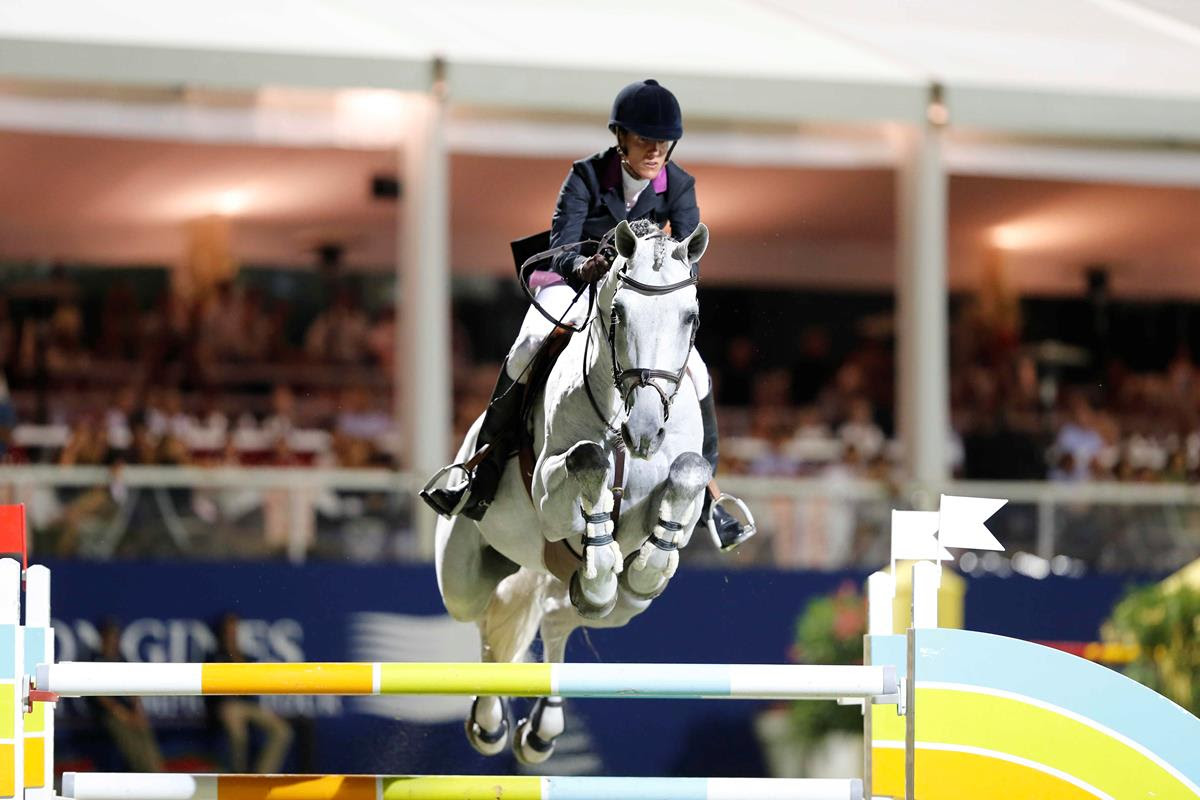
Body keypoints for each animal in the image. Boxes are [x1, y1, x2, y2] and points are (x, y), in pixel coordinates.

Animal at [434, 219, 712, 764]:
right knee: (488, 622)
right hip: (462, 579)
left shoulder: (680, 488)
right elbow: (589, 459)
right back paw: (490, 722)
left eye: (689, 318)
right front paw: (600, 552)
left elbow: (688, 472)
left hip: (623, 609)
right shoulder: (548, 500)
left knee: (560, 617)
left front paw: (644, 567)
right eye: (618, 313)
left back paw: (544, 724)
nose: (645, 432)